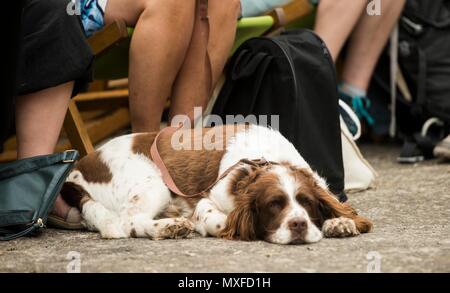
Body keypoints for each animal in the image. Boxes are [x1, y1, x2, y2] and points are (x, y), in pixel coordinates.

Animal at [63, 124, 372, 243]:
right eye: (273, 205)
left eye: (306, 202)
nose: (298, 225)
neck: (265, 159)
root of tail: (76, 170)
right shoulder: (206, 201)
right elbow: (220, 220)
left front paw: (340, 222)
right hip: (153, 183)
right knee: (128, 221)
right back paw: (170, 226)